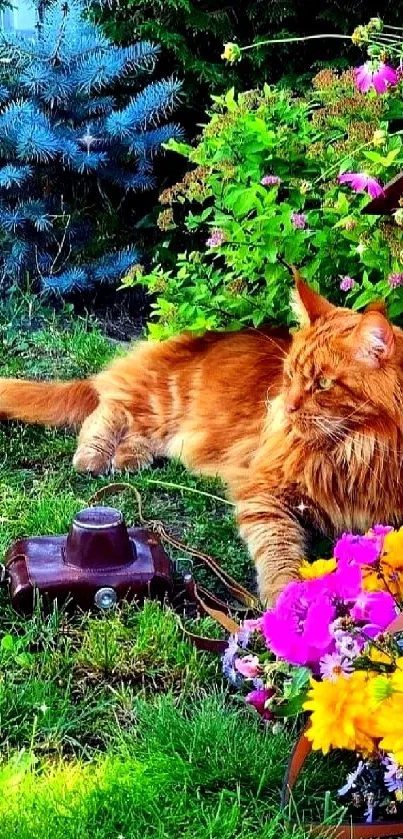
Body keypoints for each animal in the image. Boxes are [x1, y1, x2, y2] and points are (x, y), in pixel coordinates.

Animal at [0, 276, 403, 604]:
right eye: (289, 376)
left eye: (322, 384)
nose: (286, 406)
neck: (357, 450)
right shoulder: (263, 491)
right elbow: (278, 549)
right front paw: (285, 597)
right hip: (160, 400)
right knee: (109, 408)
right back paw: (93, 457)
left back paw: (129, 459)